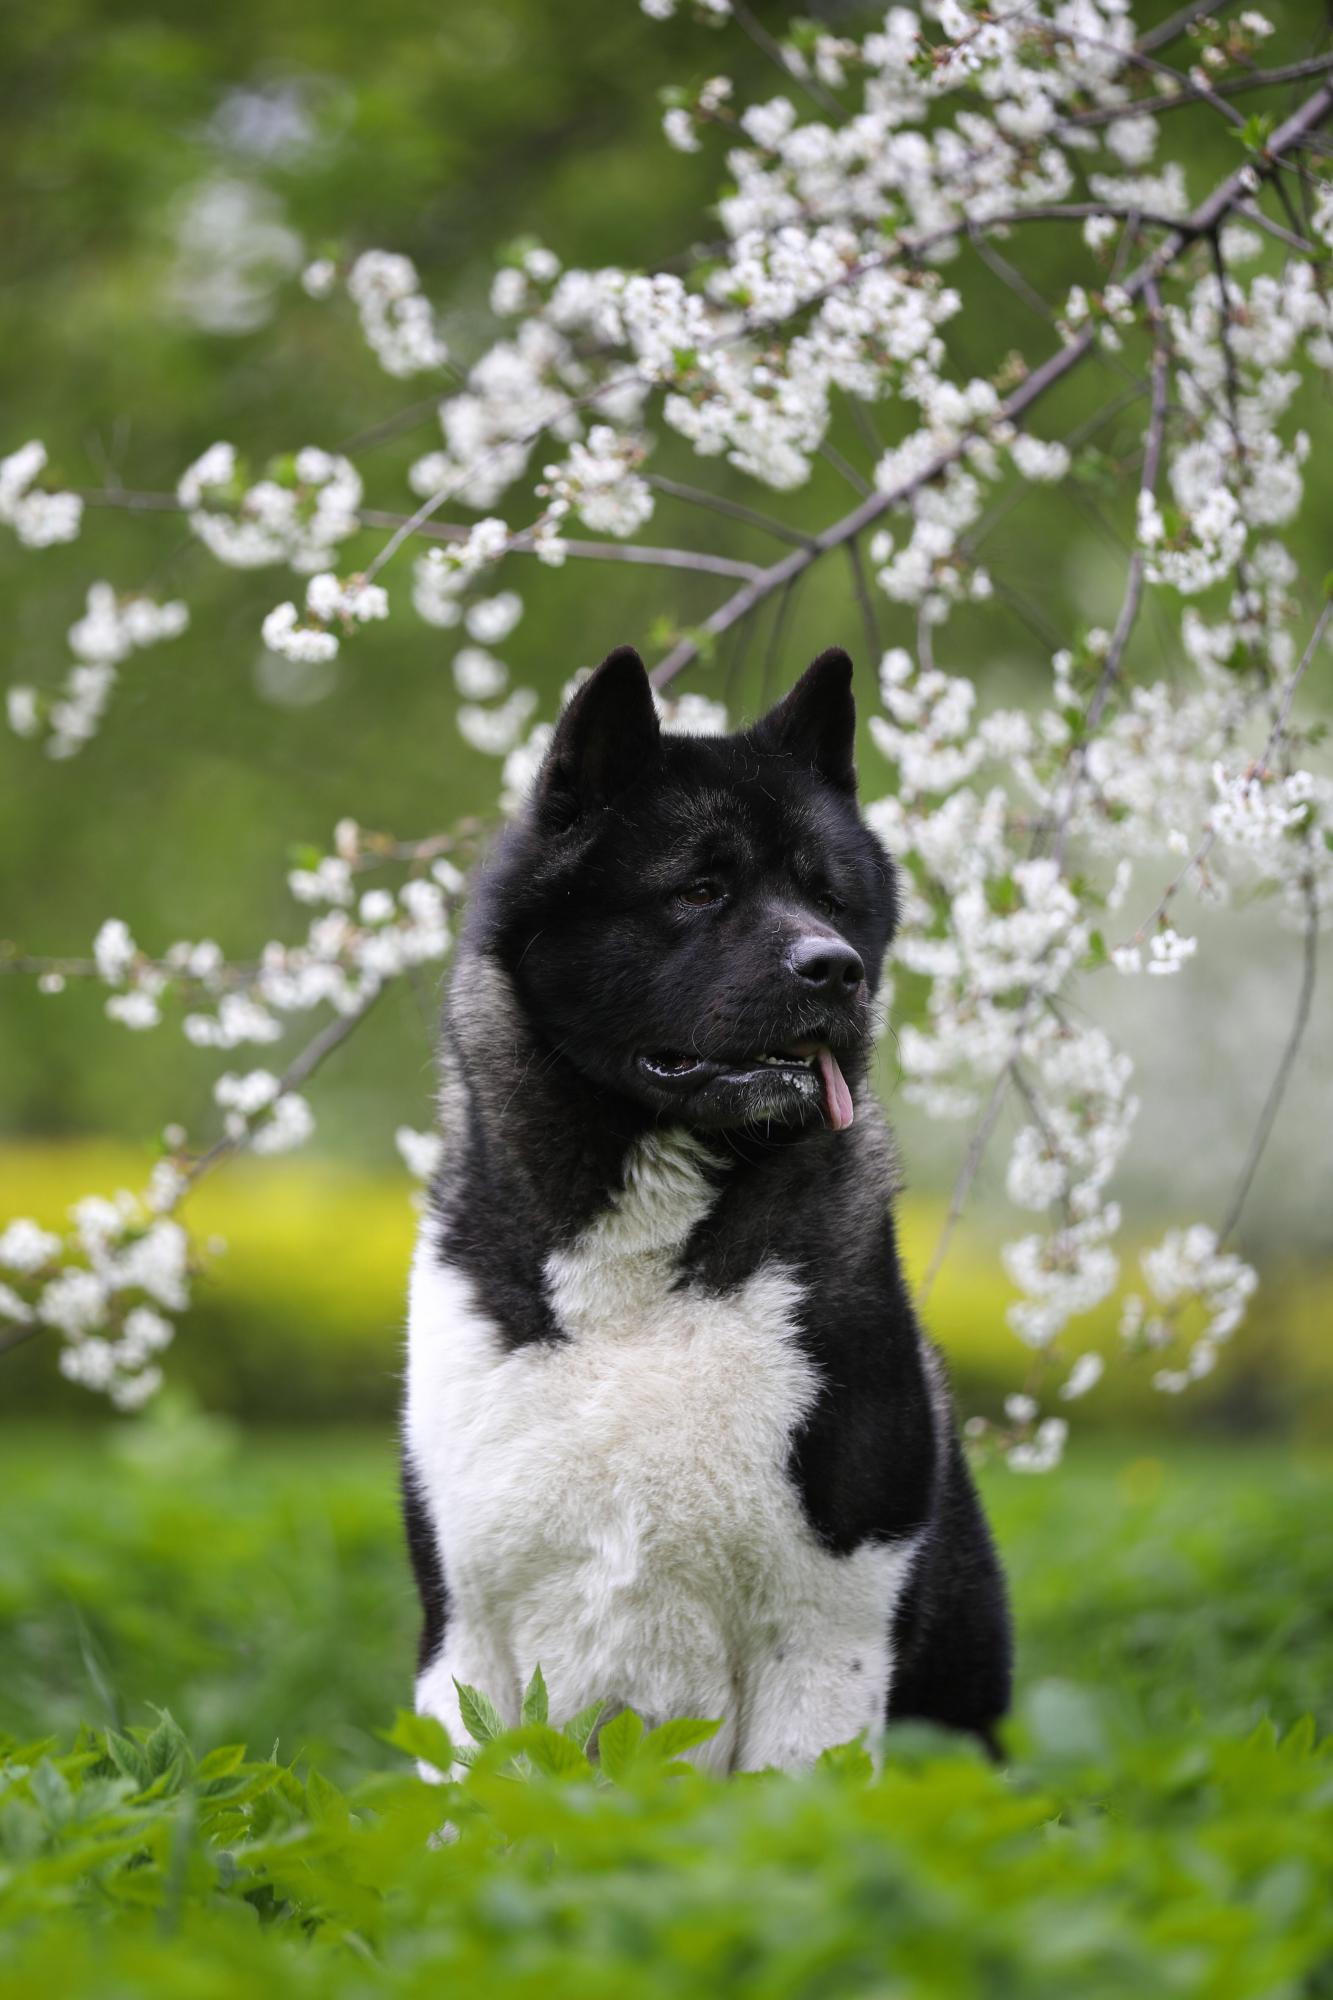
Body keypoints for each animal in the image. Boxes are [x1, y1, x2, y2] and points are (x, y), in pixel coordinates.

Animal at [402, 644, 1008, 1768]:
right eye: (698, 888)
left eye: (829, 896)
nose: (833, 968)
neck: (639, 1274)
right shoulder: (465, 1635)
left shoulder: (824, 1629)